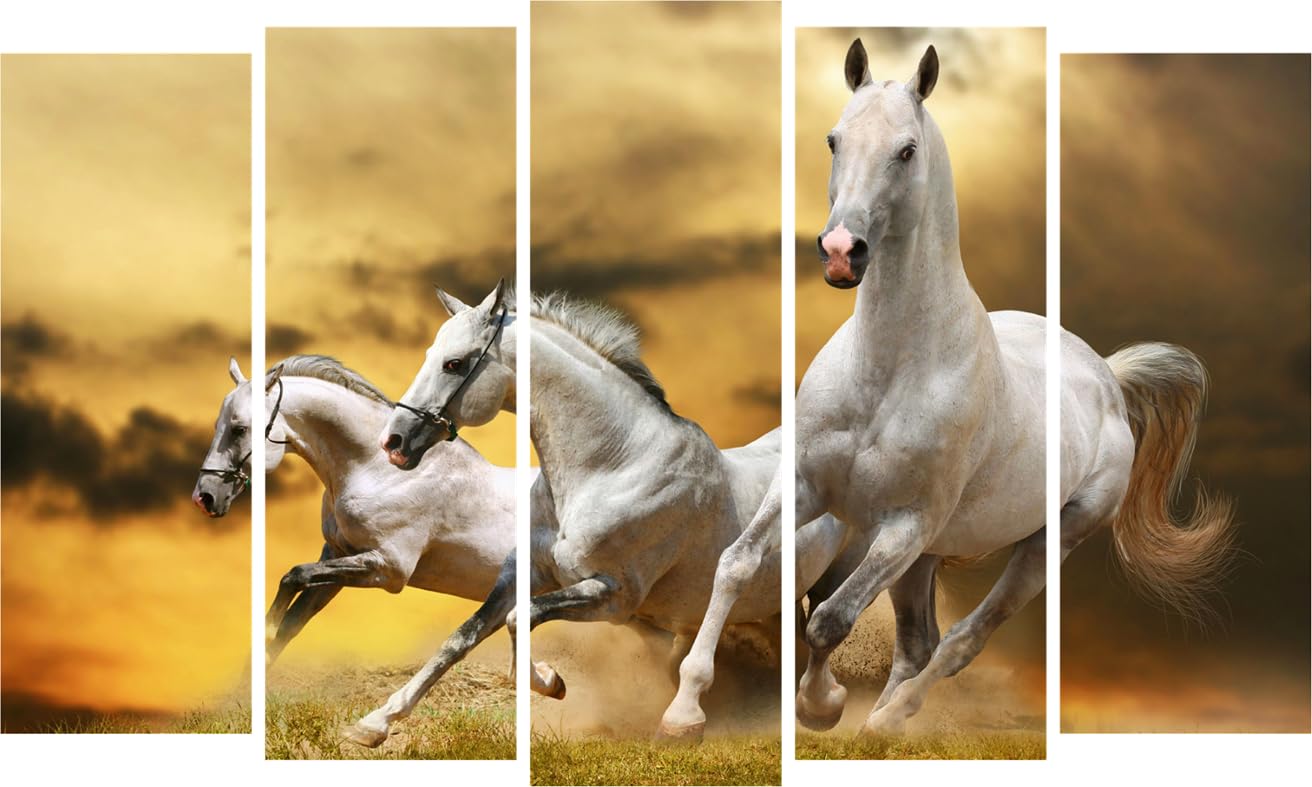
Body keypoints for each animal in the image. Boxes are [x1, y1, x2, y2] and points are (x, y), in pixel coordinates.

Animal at [191, 354, 518, 747]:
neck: (379, 471)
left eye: (239, 429)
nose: (205, 497)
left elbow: (292, 577)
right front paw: (241, 699)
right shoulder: (336, 558)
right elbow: (292, 619)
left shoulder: (387, 569)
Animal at [380, 282, 789, 740]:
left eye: (455, 363)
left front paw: (549, 681)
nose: (394, 442)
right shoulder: (526, 574)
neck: (613, 466)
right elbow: (464, 635)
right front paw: (376, 722)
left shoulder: (613, 595)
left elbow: (522, 618)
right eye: (431, 354)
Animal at [789, 40, 1235, 736]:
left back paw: (891, 719)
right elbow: (811, 603)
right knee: (918, 640)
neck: (888, 372)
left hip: (1047, 542)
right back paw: (879, 724)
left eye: (907, 150)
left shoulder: (904, 524)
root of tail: (1106, 375)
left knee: (962, 640)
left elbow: (830, 616)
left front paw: (820, 706)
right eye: (834, 140)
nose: (841, 251)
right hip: (928, 552)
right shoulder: (850, 510)